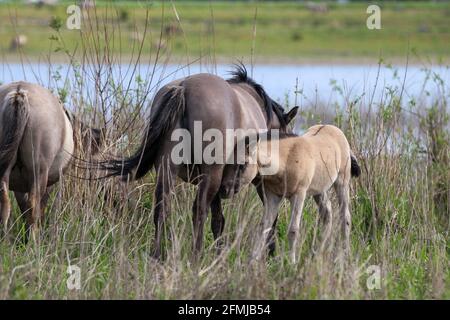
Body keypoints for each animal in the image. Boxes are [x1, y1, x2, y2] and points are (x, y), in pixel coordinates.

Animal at [0, 81, 102, 241]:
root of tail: (19, 93)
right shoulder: (48, 182)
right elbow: (39, 207)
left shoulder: (18, 185)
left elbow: (22, 207)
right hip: (40, 170)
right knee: (33, 205)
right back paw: (34, 242)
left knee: (4, 202)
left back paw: (5, 240)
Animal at [102, 64, 298, 258]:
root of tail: (184, 88)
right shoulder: (255, 179)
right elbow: (270, 215)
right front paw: (270, 251)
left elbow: (218, 219)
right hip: (210, 174)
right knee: (199, 210)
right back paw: (196, 256)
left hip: (168, 169)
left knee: (162, 207)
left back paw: (157, 255)